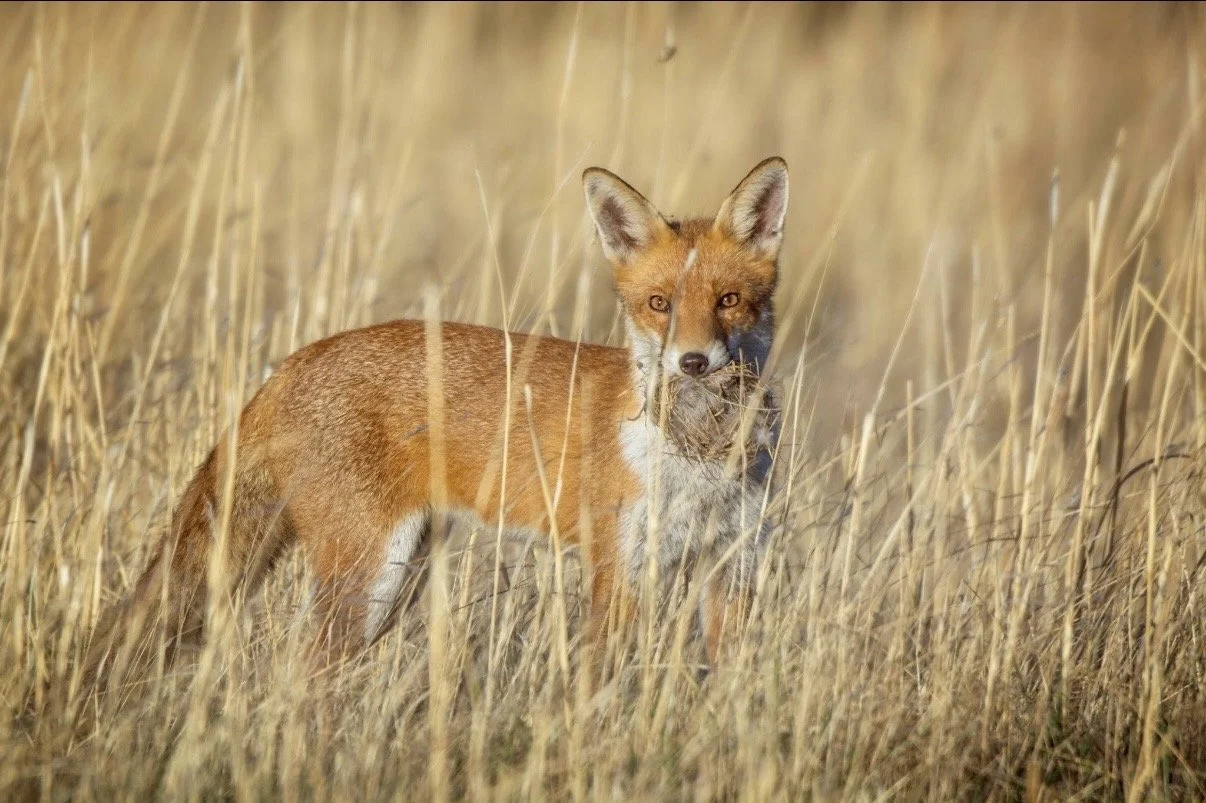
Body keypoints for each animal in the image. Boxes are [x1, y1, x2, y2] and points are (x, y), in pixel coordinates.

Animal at [81, 157, 789, 690]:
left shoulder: (733, 562)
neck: (697, 456)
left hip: (398, 577)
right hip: (369, 577)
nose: (692, 362)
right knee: (296, 682)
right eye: (659, 304)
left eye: (728, 300)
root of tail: (294, 361)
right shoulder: (619, 569)